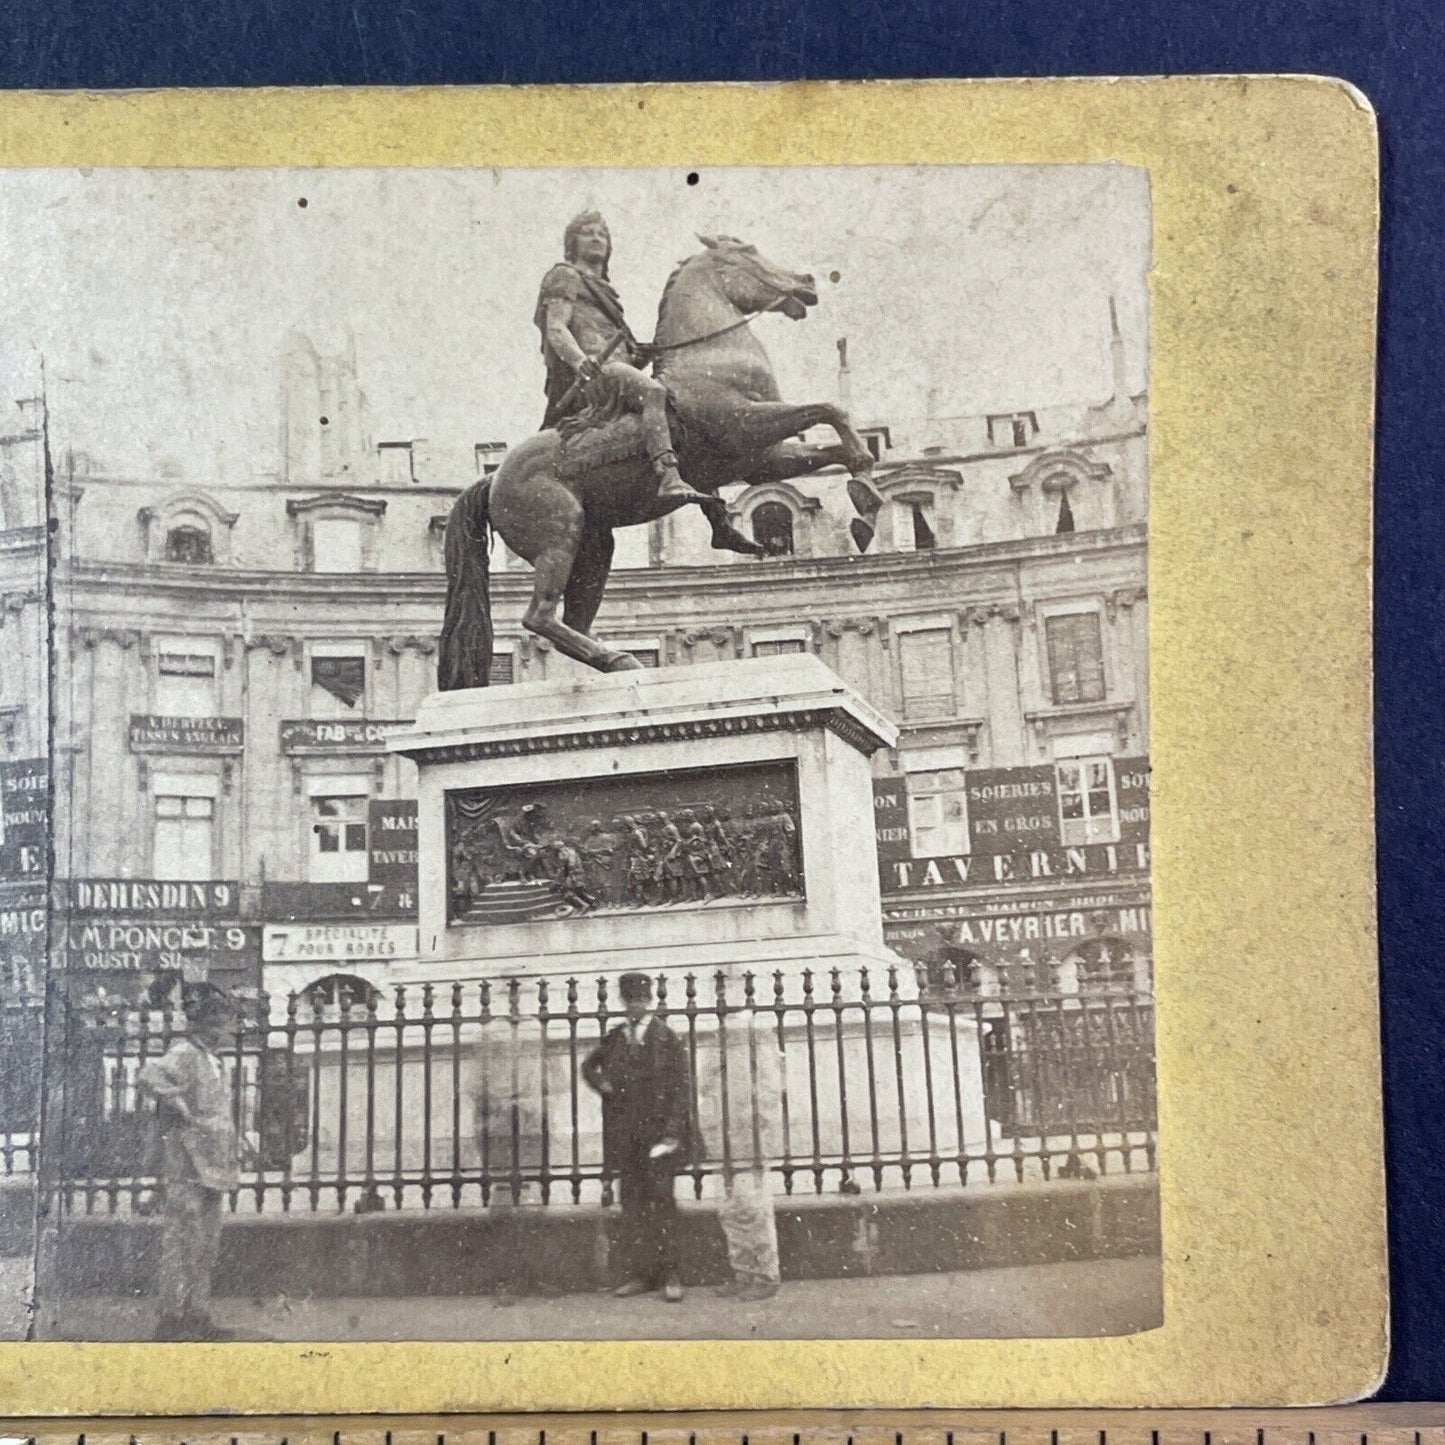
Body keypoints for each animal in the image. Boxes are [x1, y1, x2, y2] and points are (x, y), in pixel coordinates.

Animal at [433, 234, 878, 684]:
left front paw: (865, 503)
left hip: (595, 546)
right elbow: (830, 409)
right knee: (538, 617)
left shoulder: (759, 459)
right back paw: (620, 657)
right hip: (560, 533)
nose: (807, 282)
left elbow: (838, 441)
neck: (709, 357)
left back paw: (617, 657)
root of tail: (493, 480)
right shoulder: (746, 425)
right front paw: (864, 499)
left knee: (570, 621)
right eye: (747, 251)